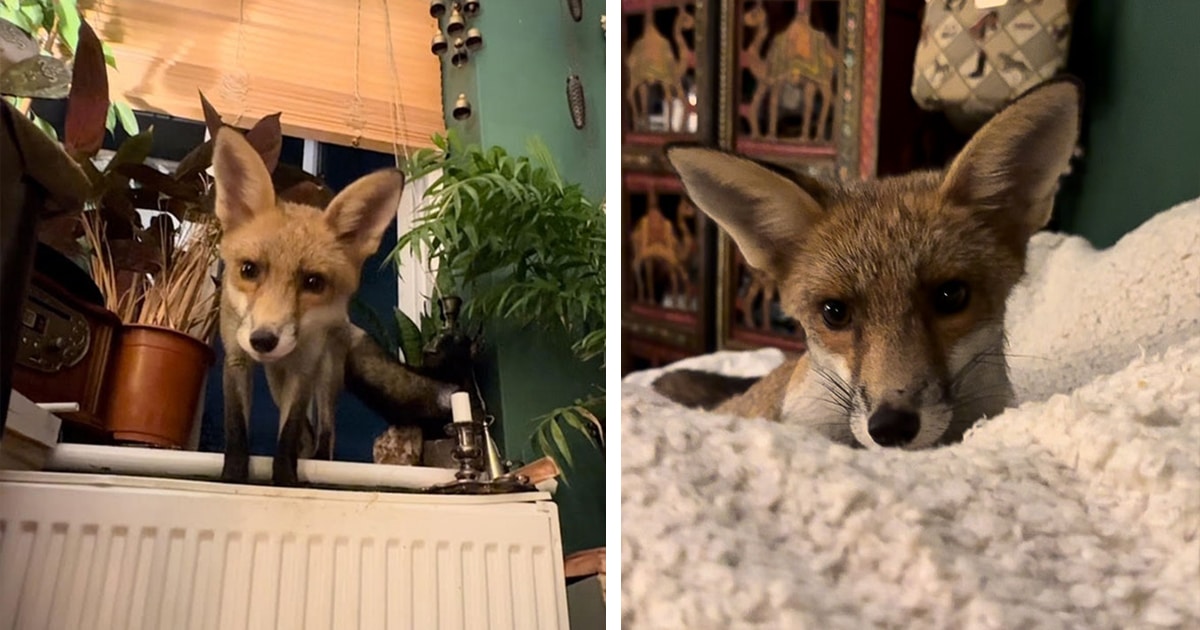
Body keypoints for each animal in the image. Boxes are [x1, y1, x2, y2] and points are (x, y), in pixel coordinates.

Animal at [211, 125, 458, 484]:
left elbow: (288, 435)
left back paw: (321, 463)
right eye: (249, 270)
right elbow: (237, 429)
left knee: (325, 431)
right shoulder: (236, 357)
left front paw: (285, 481)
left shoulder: (304, 365)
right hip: (275, 378)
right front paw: (232, 478)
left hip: (327, 372)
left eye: (313, 283)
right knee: (308, 432)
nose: (264, 340)